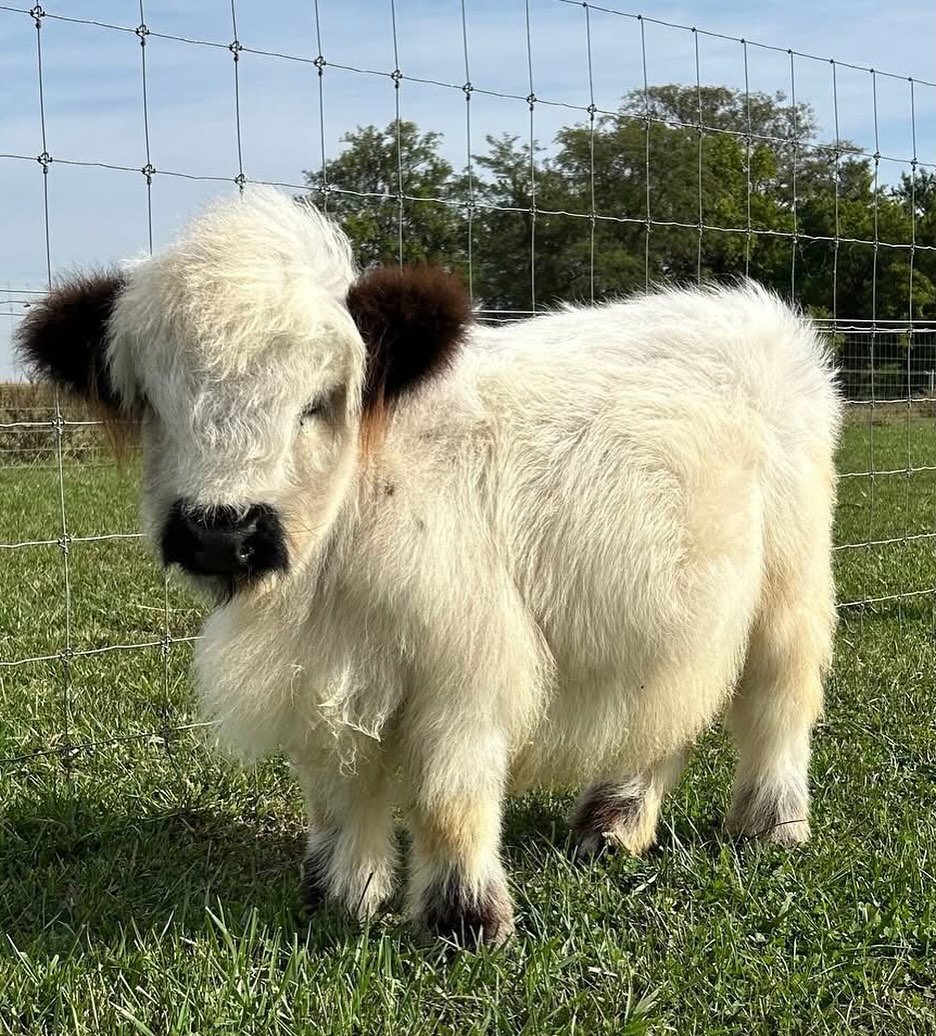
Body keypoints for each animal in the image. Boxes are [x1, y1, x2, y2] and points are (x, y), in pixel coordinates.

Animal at [16, 186, 842, 947]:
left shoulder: (466, 672)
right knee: (669, 709)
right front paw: (339, 895)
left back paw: (772, 824)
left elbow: (449, 799)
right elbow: (337, 793)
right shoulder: (326, 677)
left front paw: (466, 919)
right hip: (674, 617)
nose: (223, 532)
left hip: (790, 590)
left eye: (318, 402)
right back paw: (615, 823)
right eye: (154, 405)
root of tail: (754, 310)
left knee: (778, 701)